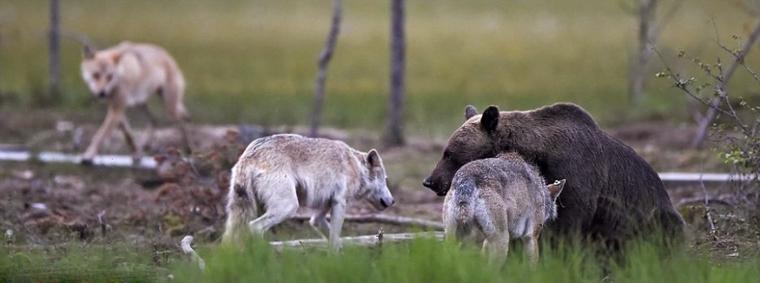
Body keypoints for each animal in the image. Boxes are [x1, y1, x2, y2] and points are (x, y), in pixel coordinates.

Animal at [221, 134, 394, 250]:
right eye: (385, 179)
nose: (393, 201)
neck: (356, 167)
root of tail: (248, 156)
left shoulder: (319, 215)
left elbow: (333, 238)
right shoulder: (340, 203)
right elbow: (334, 238)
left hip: (245, 210)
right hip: (288, 207)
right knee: (253, 228)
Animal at [424, 103, 684, 247]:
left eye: (449, 153)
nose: (430, 181)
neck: (537, 152)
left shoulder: (578, 178)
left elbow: (565, 228)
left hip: (650, 213)